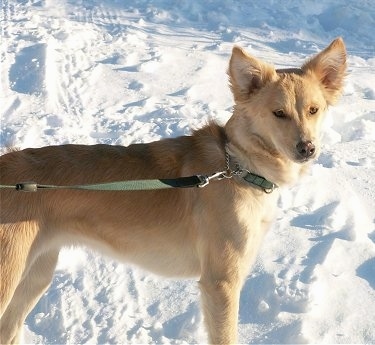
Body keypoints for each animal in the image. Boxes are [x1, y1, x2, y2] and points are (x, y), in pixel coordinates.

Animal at [0, 37, 346, 342]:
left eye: (314, 110)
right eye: (279, 113)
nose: (307, 148)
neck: (238, 165)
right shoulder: (221, 283)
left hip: (35, 275)